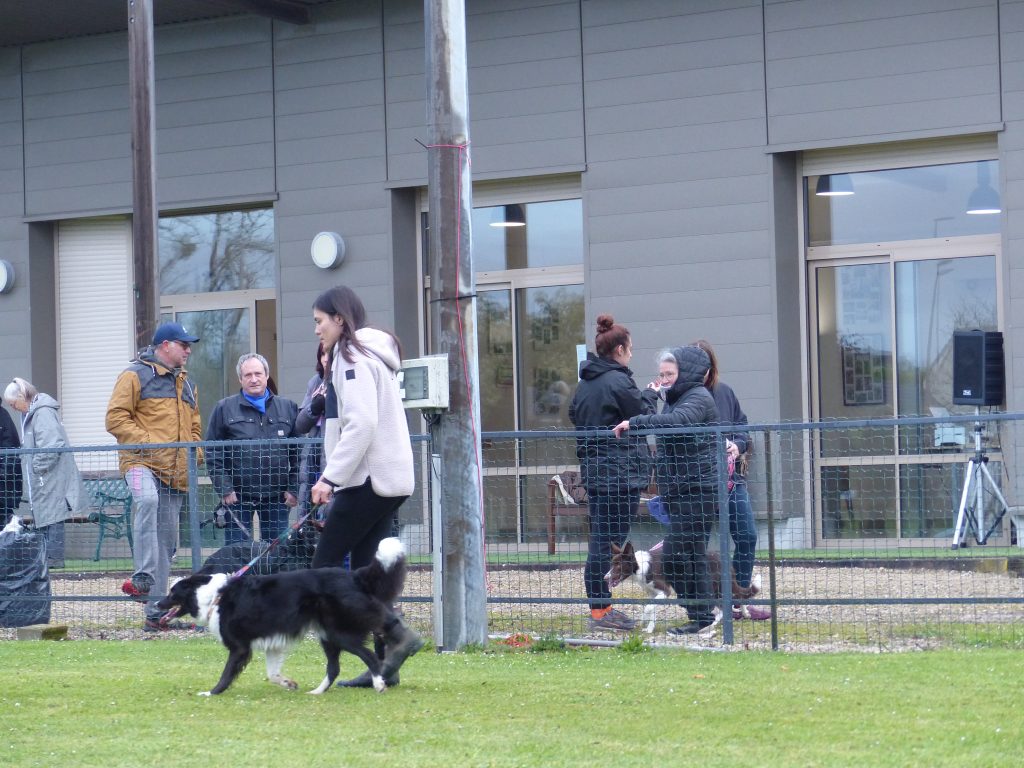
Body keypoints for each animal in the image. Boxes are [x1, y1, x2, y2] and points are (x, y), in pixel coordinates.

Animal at [155, 537, 423, 696]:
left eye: (172, 593)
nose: (156, 604)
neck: (213, 596)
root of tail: (353, 575)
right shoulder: (273, 643)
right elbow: (272, 674)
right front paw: (288, 683)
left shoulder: (240, 647)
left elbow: (227, 673)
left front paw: (212, 692)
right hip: (327, 634)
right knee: (334, 667)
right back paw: (317, 692)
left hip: (339, 632)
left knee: (370, 655)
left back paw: (379, 682)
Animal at [605, 540, 761, 633]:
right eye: (612, 564)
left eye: (618, 565)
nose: (605, 578)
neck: (639, 566)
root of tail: (723, 560)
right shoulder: (653, 593)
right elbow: (652, 610)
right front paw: (649, 629)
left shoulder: (665, 592)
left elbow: (648, 608)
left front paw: (643, 619)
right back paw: (741, 613)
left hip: (713, 587)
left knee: (724, 607)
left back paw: (711, 625)